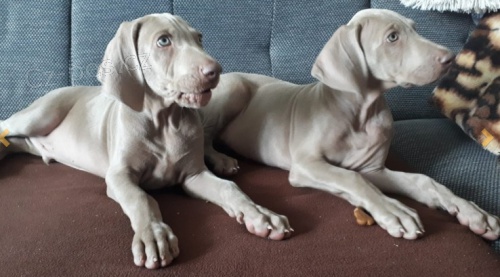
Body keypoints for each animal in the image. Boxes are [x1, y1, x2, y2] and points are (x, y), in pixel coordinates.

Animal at [0, 14, 292, 268]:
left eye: (199, 38)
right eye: (163, 40)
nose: (216, 71)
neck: (165, 123)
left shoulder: (194, 176)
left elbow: (230, 188)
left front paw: (260, 214)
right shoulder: (119, 176)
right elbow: (141, 198)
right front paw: (153, 235)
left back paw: (222, 160)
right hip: (41, 115)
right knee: (7, 129)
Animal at [200, 9, 500, 239]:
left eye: (415, 29)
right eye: (392, 37)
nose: (450, 57)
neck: (361, 114)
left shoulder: (372, 169)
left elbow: (423, 181)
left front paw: (469, 210)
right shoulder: (306, 165)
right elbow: (352, 179)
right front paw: (394, 211)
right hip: (235, 89)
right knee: (205, 137)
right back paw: (220, 159)